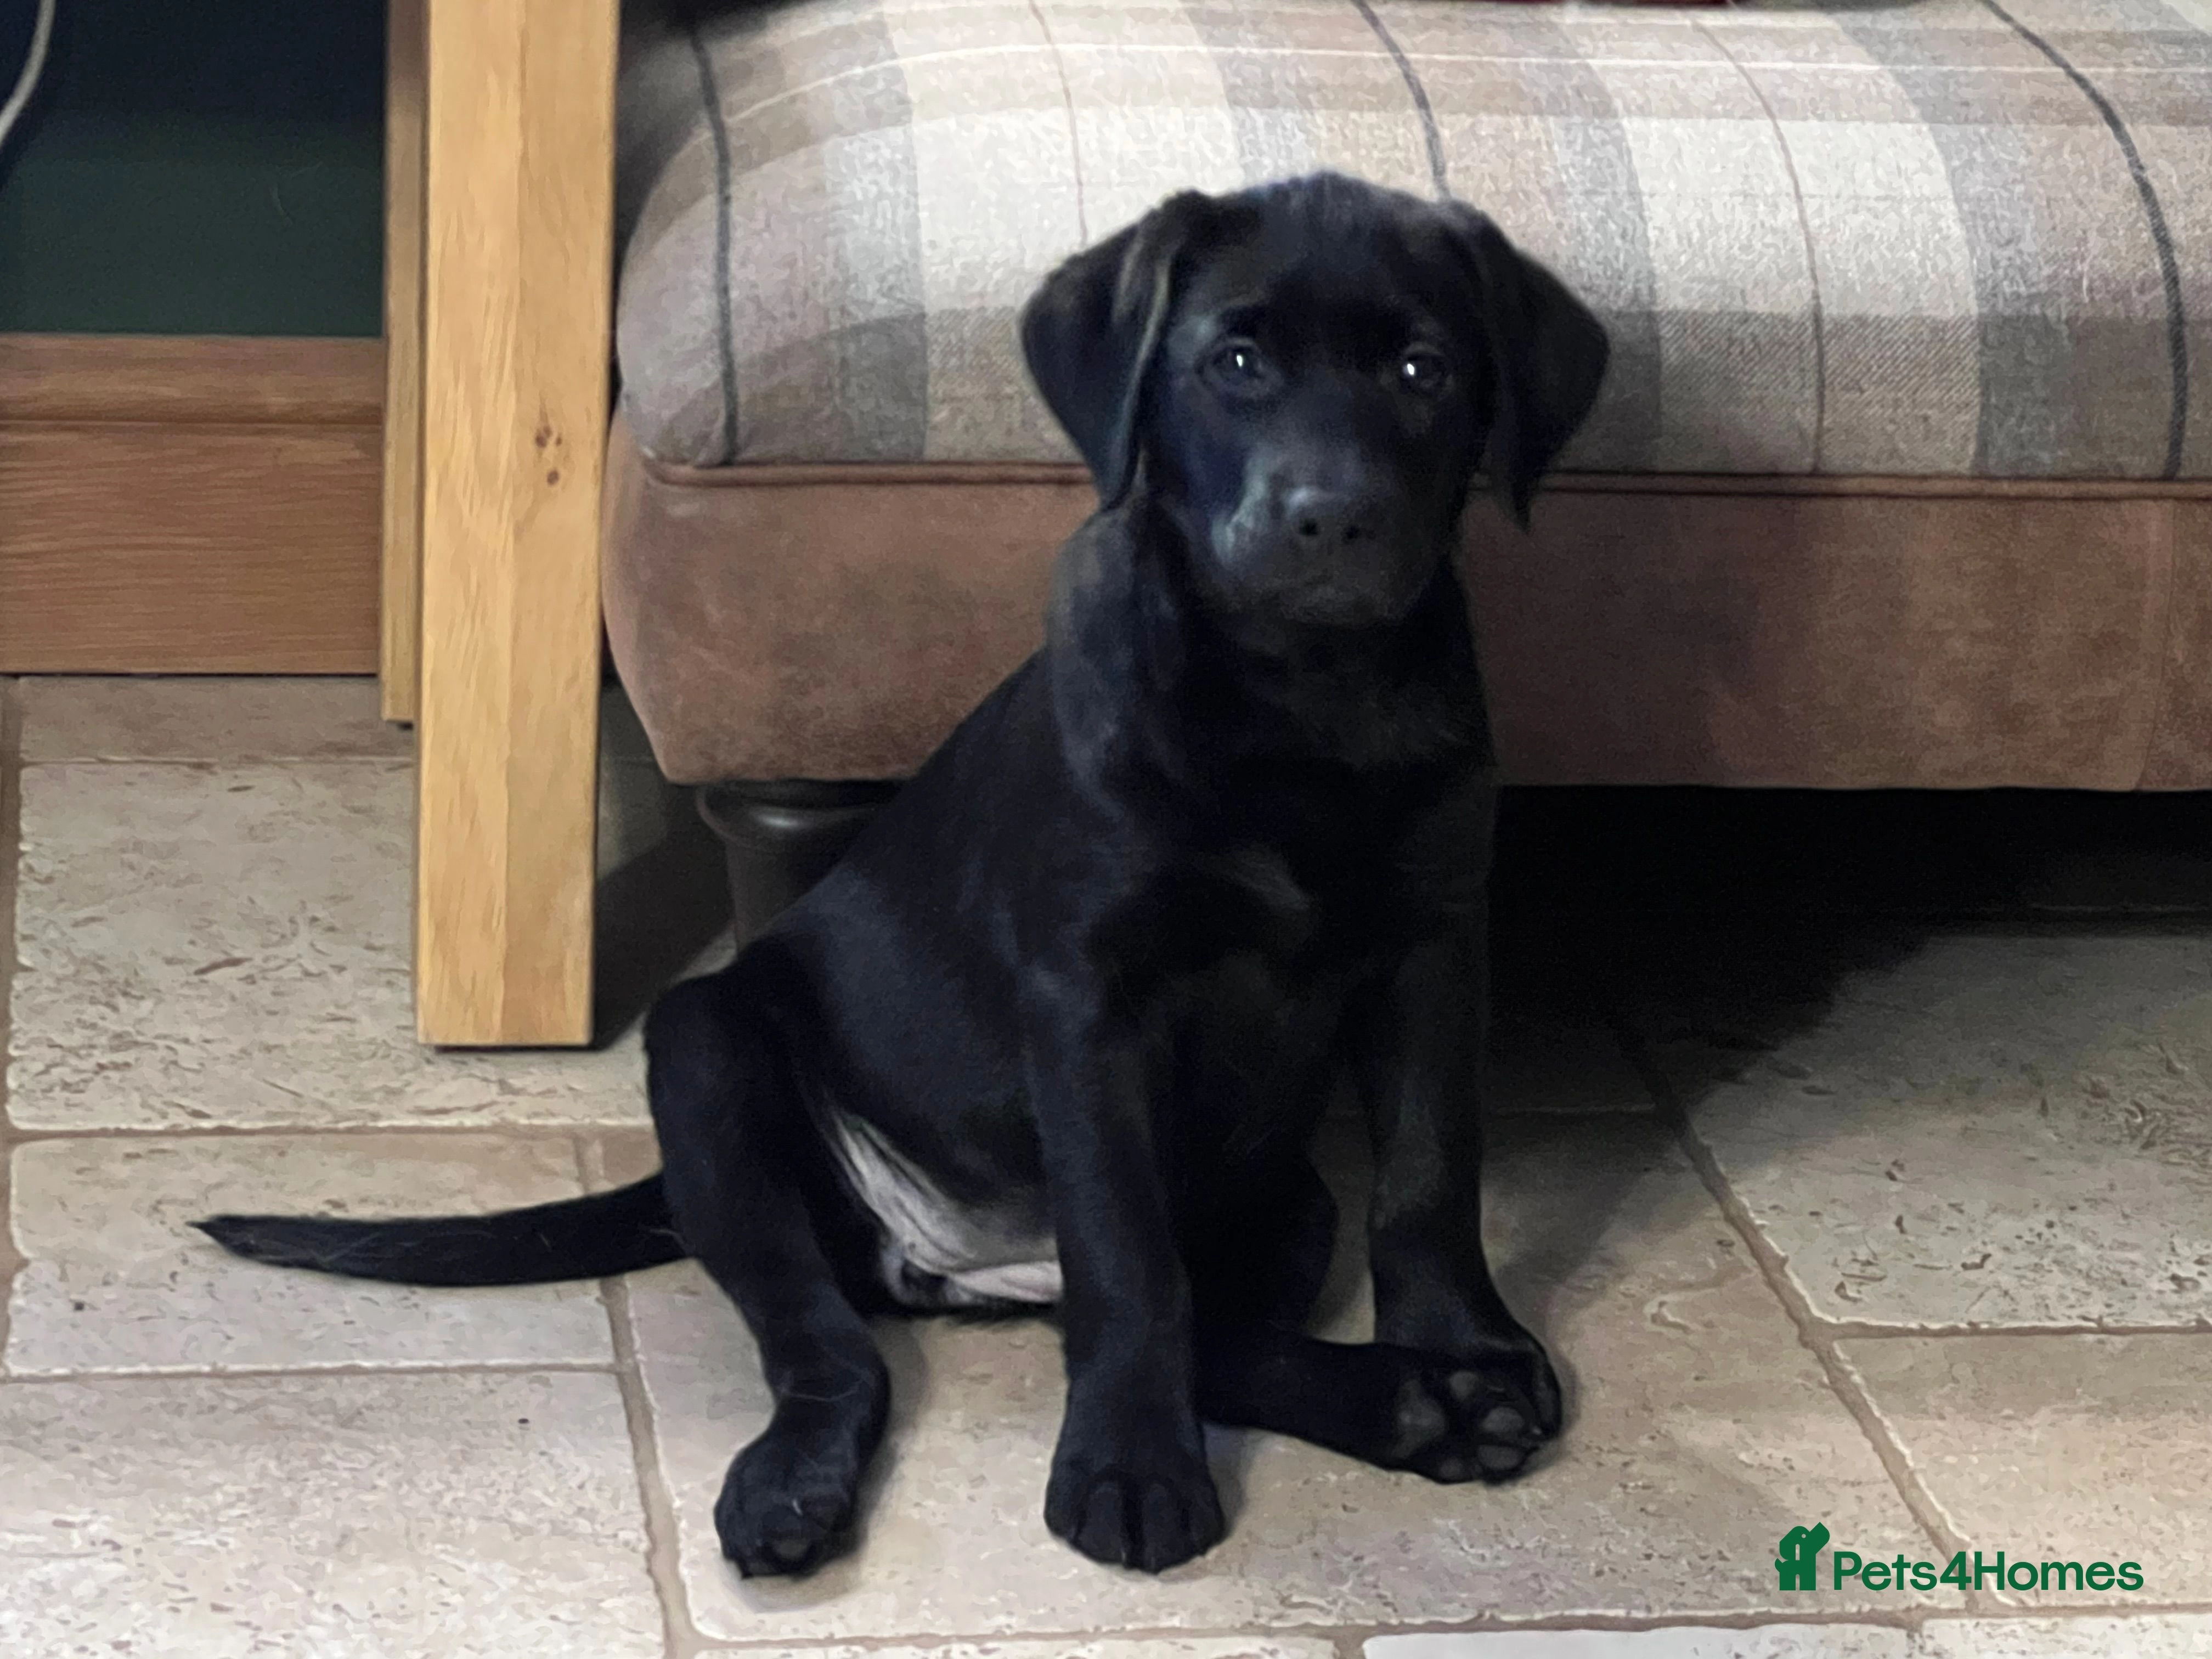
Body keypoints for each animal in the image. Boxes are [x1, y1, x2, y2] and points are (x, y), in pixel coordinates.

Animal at [199, 169, 1601, 1583]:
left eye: (1425, 371)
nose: (1333, 517)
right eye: (1237, 363)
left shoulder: (1436, 945)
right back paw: (793, 1487)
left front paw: (1463, 1350)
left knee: (1216, 1333)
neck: (1297, 702)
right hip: (711, 1062)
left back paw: (1417, 1402)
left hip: (1276, 1189)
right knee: (837, 1346)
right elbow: (1129, 1255)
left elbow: (1429, 1174)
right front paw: (1130, 1467)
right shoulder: (1090, 997)